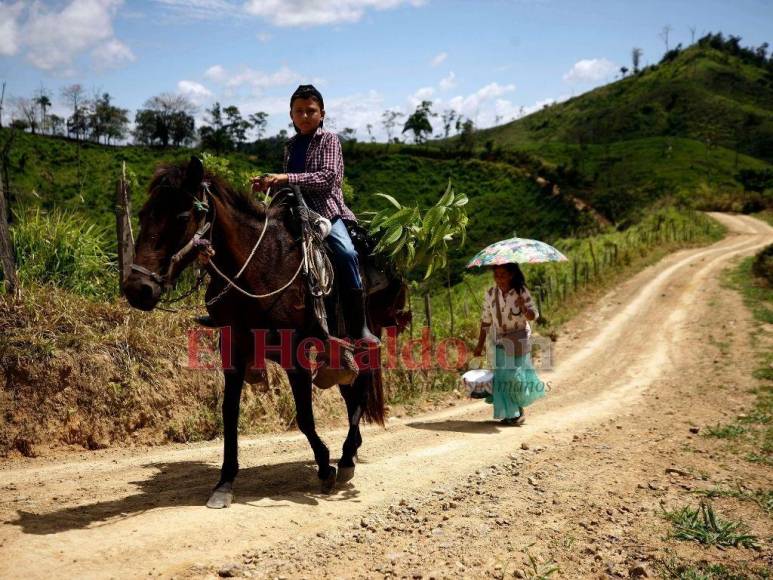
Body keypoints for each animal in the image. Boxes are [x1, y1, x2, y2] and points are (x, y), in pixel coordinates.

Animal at [123, 156, 408, 506]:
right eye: (142, 214)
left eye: (182, 216)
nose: (138, 289)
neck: (259, 266)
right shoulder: (233, 349)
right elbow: (229, 413)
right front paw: (224, 482)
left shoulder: (292, 353)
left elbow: (304, 415)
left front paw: (324, 467)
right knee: (349, 392)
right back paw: (348, 455)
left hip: (366, 337)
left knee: (360, 392)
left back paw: (346, 459)